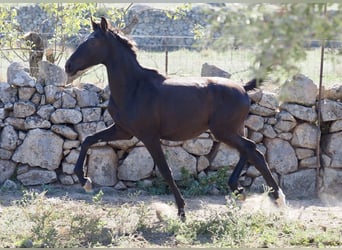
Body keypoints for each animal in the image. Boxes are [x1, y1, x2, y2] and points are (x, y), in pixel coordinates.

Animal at [65, 17, 286, 219]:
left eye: (93, 41)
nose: (68, 66)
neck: (134, 88)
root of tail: (243, 87)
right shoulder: (123, 130)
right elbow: (88, 140)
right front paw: (85, 181)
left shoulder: (149, 136)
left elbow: (166, 170)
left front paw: (181, 211)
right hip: (231, 131)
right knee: (250, 151)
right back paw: (240, 190)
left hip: (224, 131)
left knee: (252, 150)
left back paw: (277, 198)